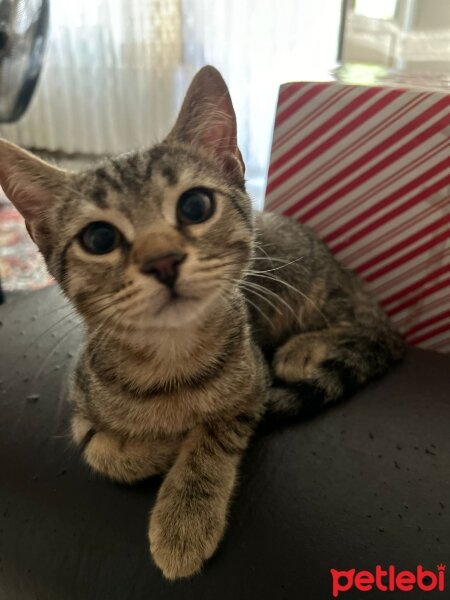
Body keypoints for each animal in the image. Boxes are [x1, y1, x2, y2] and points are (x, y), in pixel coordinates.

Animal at [0, 64, 404, 576]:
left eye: (195, 206)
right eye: (99, 238)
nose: (163, 260)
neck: (170, 357)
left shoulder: (254, 383)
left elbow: (216, 430)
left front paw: (185, 512)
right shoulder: (79, 407)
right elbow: (100, 449)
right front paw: (158, 448)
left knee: (378, 330)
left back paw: (303, 347)